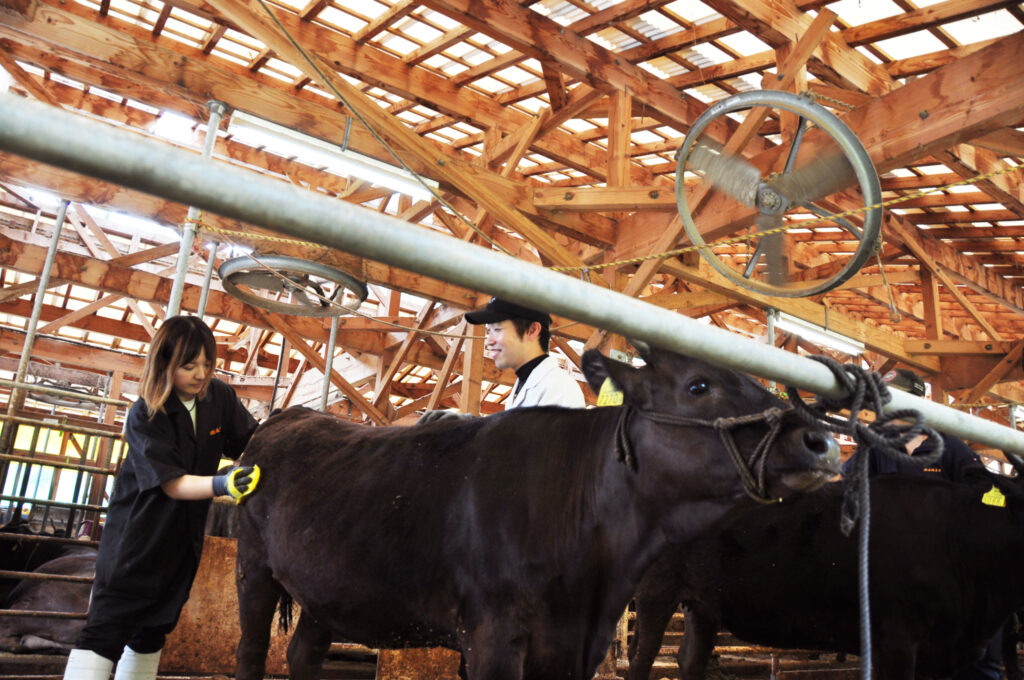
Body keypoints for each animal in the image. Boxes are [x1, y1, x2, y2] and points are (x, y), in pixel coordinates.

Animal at [234, 348, 839, 675]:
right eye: (698, 385)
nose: (820, 441)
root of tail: (288, 416)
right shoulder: (492, 636)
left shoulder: (577, 646)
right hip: (252, 569)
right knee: (252, 649)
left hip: (326, 591)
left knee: (303, 654)